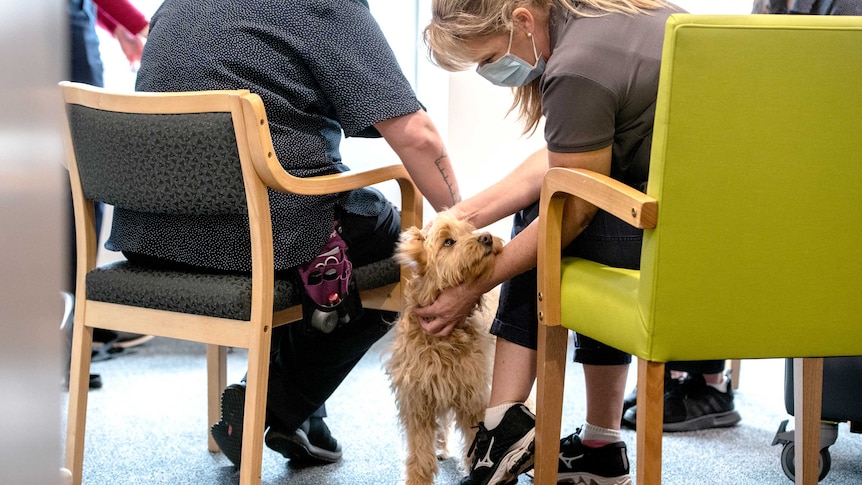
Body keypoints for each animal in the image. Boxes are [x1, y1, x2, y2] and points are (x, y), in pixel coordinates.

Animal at [386, 214, 506, 484]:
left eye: (469, 231)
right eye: (449, 241)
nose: (486, 237)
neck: (443, 341)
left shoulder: (472, 399)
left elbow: (475, 443)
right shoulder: (418, 401)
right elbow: (419, 455)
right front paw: (417, 479)